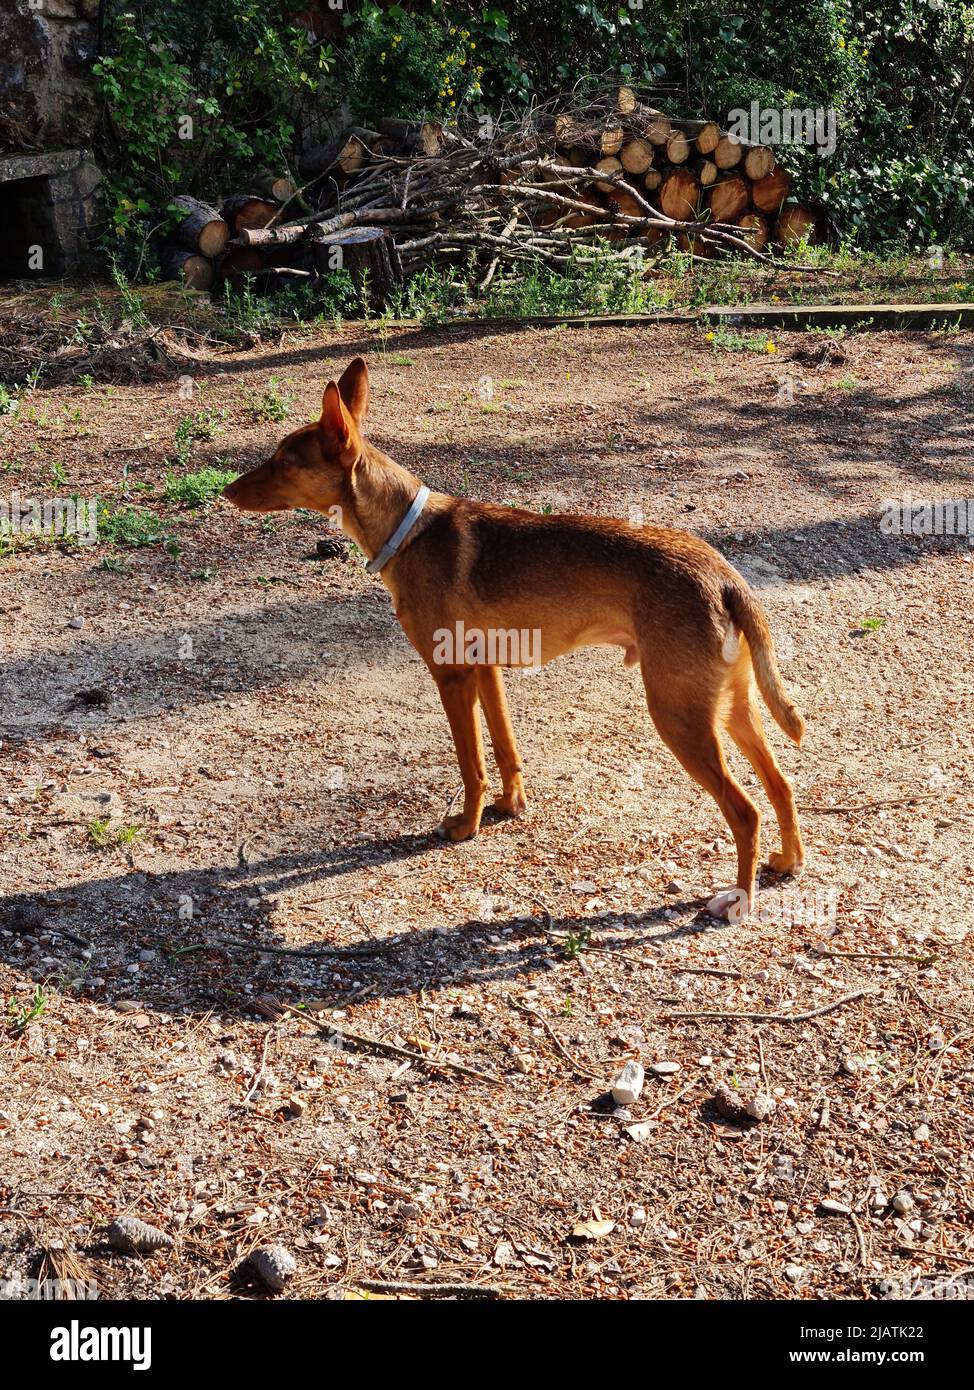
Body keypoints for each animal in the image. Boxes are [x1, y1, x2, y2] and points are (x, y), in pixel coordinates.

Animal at [223, 364, 800, 917]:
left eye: (283, 460)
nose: (225, 491)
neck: (408, 530)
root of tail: (724, 576)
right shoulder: (487, 670)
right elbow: (504, 749)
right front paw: (510, 806)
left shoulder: (452, 676)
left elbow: (471, 764)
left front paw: (466, 827)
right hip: (730, 709)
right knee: (781, 784)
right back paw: (788, 860)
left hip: (679, 717)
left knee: (745, 812)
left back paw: (739, 899)